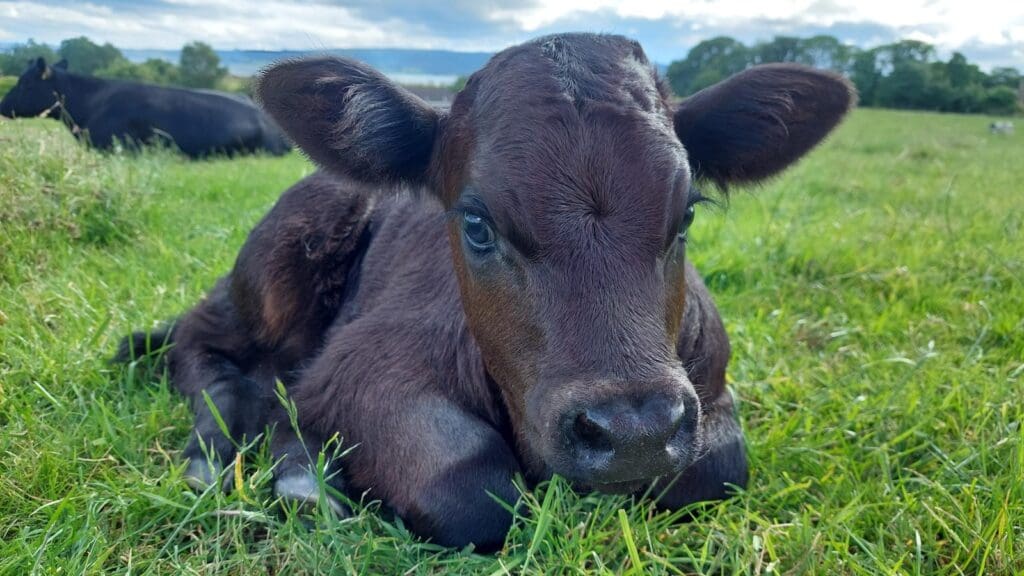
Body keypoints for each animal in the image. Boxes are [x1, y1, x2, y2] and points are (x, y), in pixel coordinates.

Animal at [118, 33, 854, 550]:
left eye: (688, 215)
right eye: (476, 223)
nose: (634, 432)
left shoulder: (708, 386)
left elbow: (715, 470)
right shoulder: (362, 366)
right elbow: (469, 488)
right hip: (279, 265)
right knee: (202, 343)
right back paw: (225, 458)